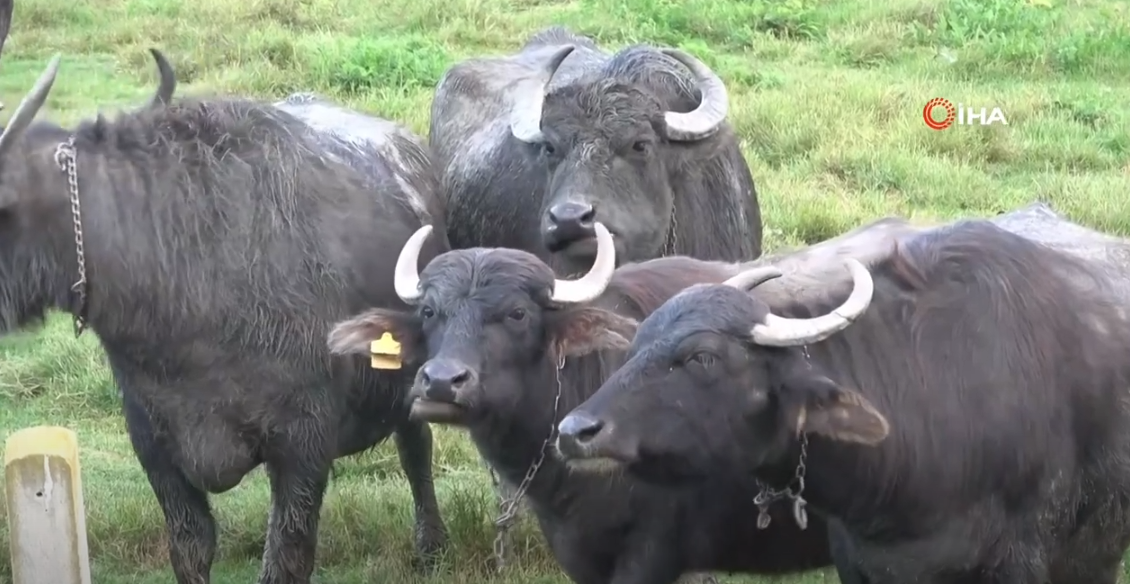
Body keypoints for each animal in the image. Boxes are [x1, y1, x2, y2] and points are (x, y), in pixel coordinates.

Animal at [0, 6, 449, 578]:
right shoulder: (154, 446)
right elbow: (191, 546)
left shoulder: (303, 444)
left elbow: (286, 556)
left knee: (416, 446)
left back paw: (432, 546)